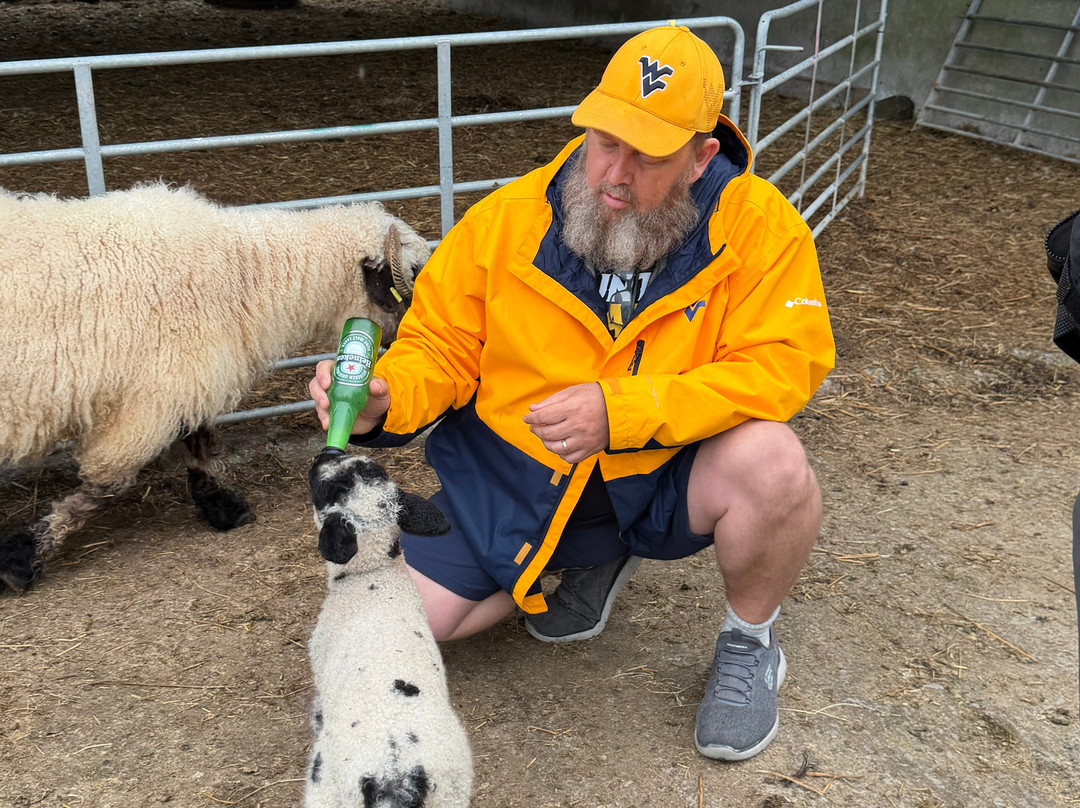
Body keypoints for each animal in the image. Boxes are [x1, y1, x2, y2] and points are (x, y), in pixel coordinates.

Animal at [0, 183, 429, 593]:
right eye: (412, 274)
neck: (242, 272)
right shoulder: (153, 395)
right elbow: (108, 482)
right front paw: (21, 557)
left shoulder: (186, 378)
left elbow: (196, 442)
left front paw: (221, 505)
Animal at [306, 448, 473, 808]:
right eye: (373, 467)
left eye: (327, 489)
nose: (326, 452)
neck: (374, 575)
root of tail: (395, 777)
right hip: (453, 792)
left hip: (325, 788)